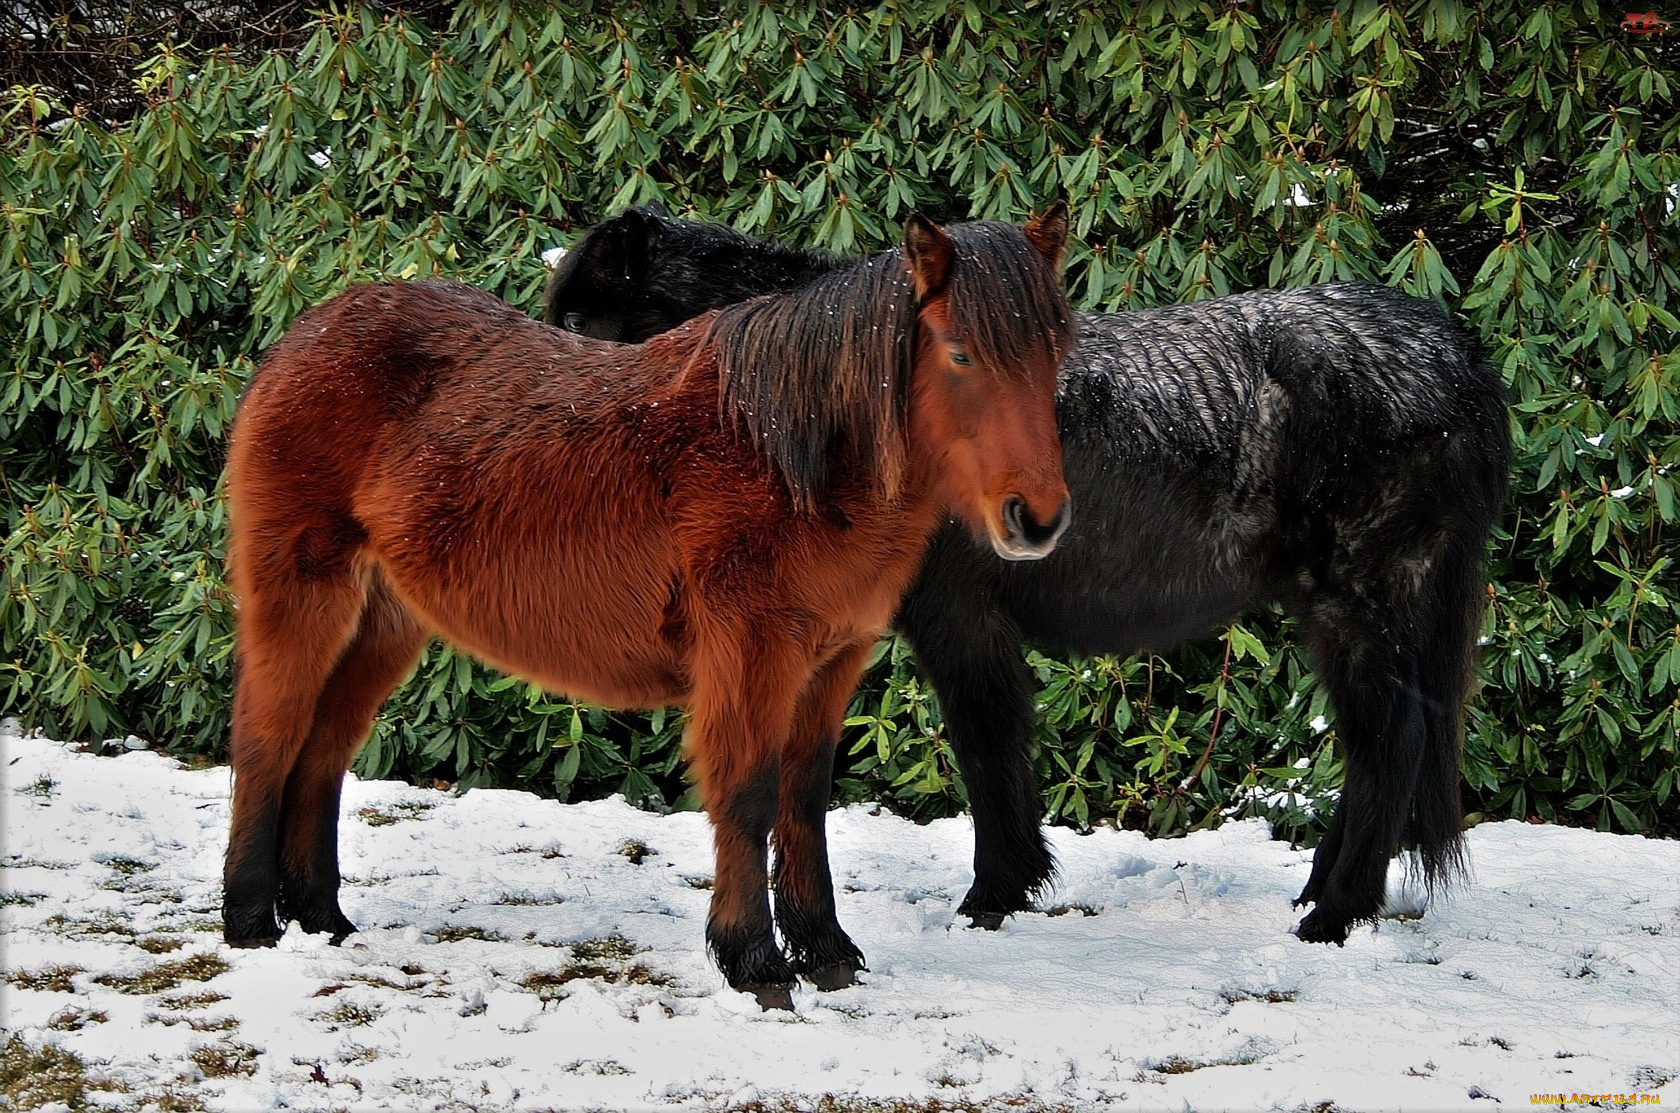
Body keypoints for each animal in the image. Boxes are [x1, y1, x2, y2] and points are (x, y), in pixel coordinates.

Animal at [220, 205, 1075, 1008]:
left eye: (1054, 352)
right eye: (960, 353)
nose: (1037, 518)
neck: (783, 445)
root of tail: (304, 337)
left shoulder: (832, 658)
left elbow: (804, 798)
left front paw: (826, 949)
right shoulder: (751, 652)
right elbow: (748, 794)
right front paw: (755, 961)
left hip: (385, 622)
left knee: (324, 750)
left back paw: (322, 918)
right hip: (302, 595)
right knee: (269, 737)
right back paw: (252, 921)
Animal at [540, 205, 1512, 948]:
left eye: (583, 327)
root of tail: (1454, 353)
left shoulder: (960, 619)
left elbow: (985, 745)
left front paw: (994, 895)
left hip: (1360, 604)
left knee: (1389, 745)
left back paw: (1335, 914)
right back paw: (1320, 890)